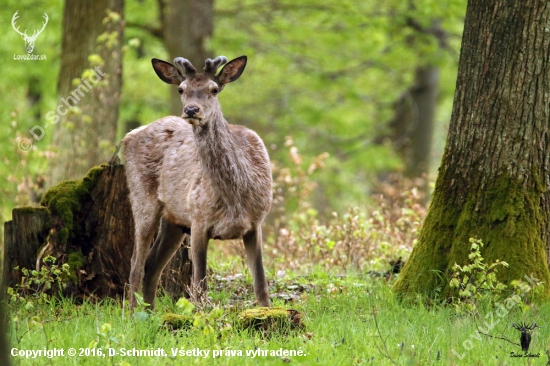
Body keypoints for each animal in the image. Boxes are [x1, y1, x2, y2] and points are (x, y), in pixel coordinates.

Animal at [123, 55, 274, 310]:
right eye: (181, 89)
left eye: (214, 89)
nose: (192, 109)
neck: (235, 197)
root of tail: (129, 135)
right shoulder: (199, 219)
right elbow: (199, 287)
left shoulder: (256, 222)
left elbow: (261, 285)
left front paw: (267, 314)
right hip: (142, 198)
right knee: (136, 264)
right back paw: (134, 313)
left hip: (174, 219)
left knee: (152, 265)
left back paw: (149, 313)